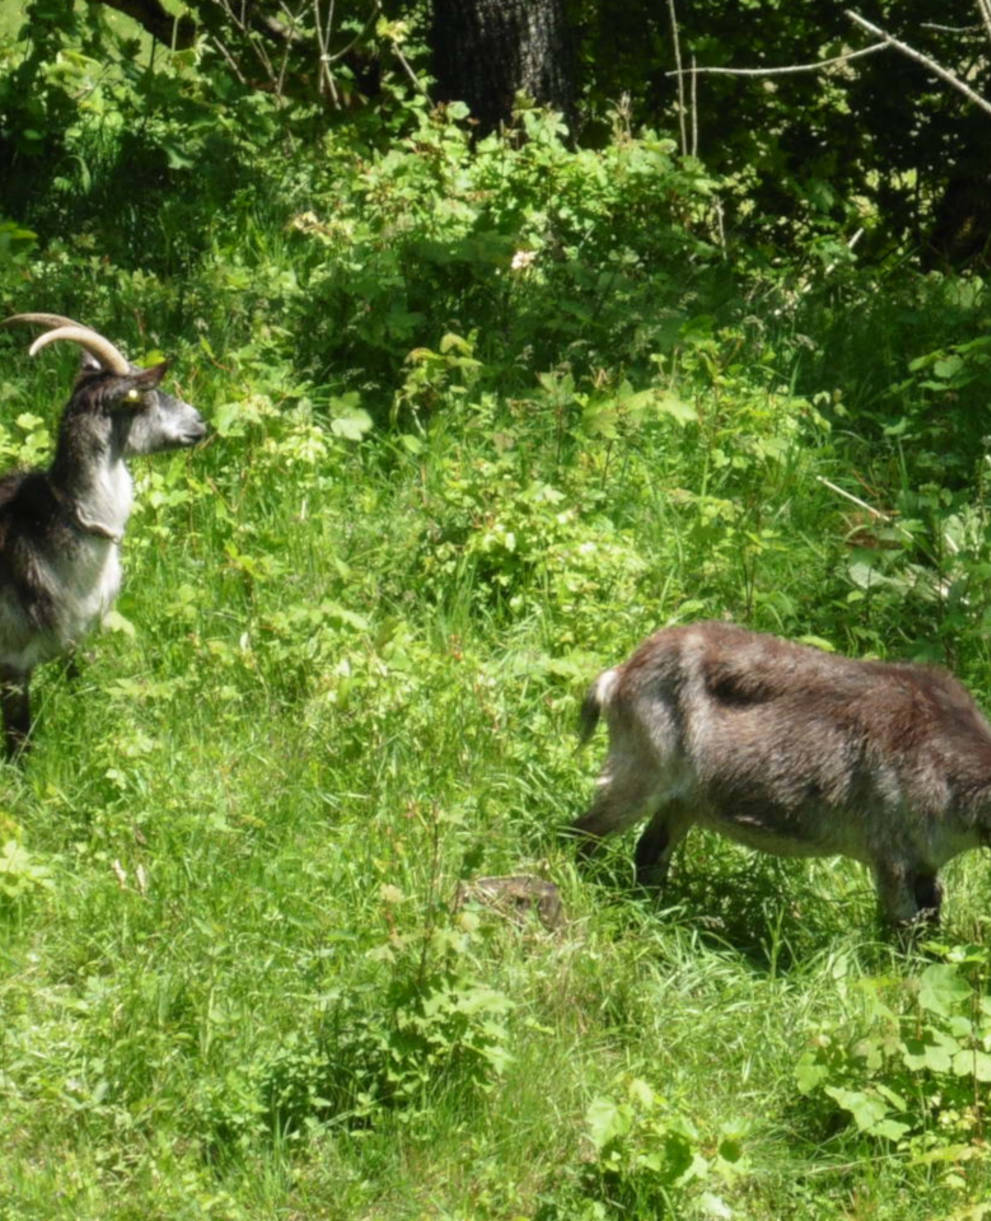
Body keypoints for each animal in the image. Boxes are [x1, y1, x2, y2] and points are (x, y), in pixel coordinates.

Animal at [0, 315, 205, 752]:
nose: (201, 422)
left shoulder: (72, 639)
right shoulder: (12, 657)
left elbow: (77, 680)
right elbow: (19, 735)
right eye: (141, 398)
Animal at [573, 620, 991, 923]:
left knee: (650, 852)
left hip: (683, 801)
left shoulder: (926, 861)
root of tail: (619, 675)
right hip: (640, 772)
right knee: (584, 828)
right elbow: (904, 924)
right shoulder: (891, 855)